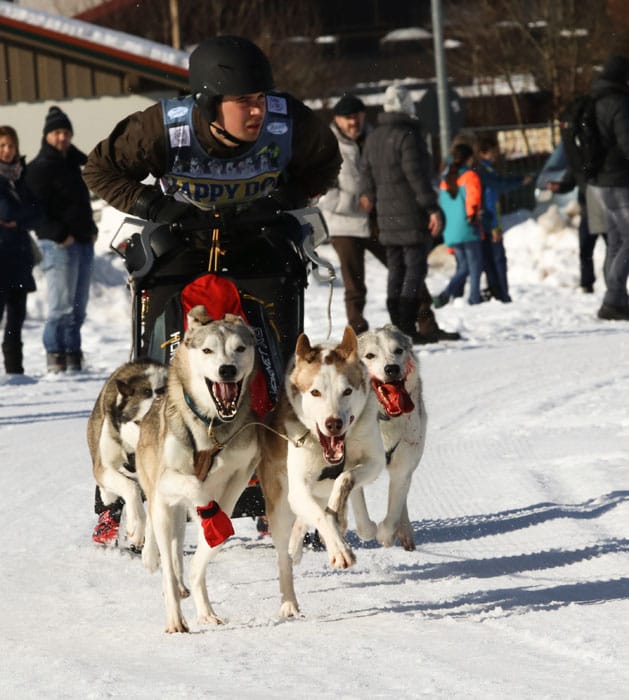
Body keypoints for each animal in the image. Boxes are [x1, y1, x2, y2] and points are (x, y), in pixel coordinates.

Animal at [136, 308, 262, 636]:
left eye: (239, 348)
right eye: (207, 350)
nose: (227, 370)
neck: (210, 426)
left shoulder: (240, 474)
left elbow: (204, 555)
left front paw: (203, 605)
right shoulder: (168, 481)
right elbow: (196, 486)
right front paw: (174, 620)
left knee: (179, 553)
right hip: (158, 496)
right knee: (162, 542)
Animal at [256, 326, 386, 616]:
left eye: (347, 391)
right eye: (315, 392)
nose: (333, 423)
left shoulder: (374, 460)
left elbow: (346, 479)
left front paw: (340, 510)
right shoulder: (299, 488)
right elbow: (322, 516)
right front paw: (340, 550)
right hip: (279, 507)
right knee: (284, 557)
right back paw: (289, 601)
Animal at [354, 326, 426, 548]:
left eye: (398, 350)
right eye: (370, 355)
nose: (391, 369)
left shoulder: (402, 466)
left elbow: (393, 512)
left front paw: (385, 535)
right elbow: (360, 515)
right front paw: (369, 530)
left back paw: (404, 532)